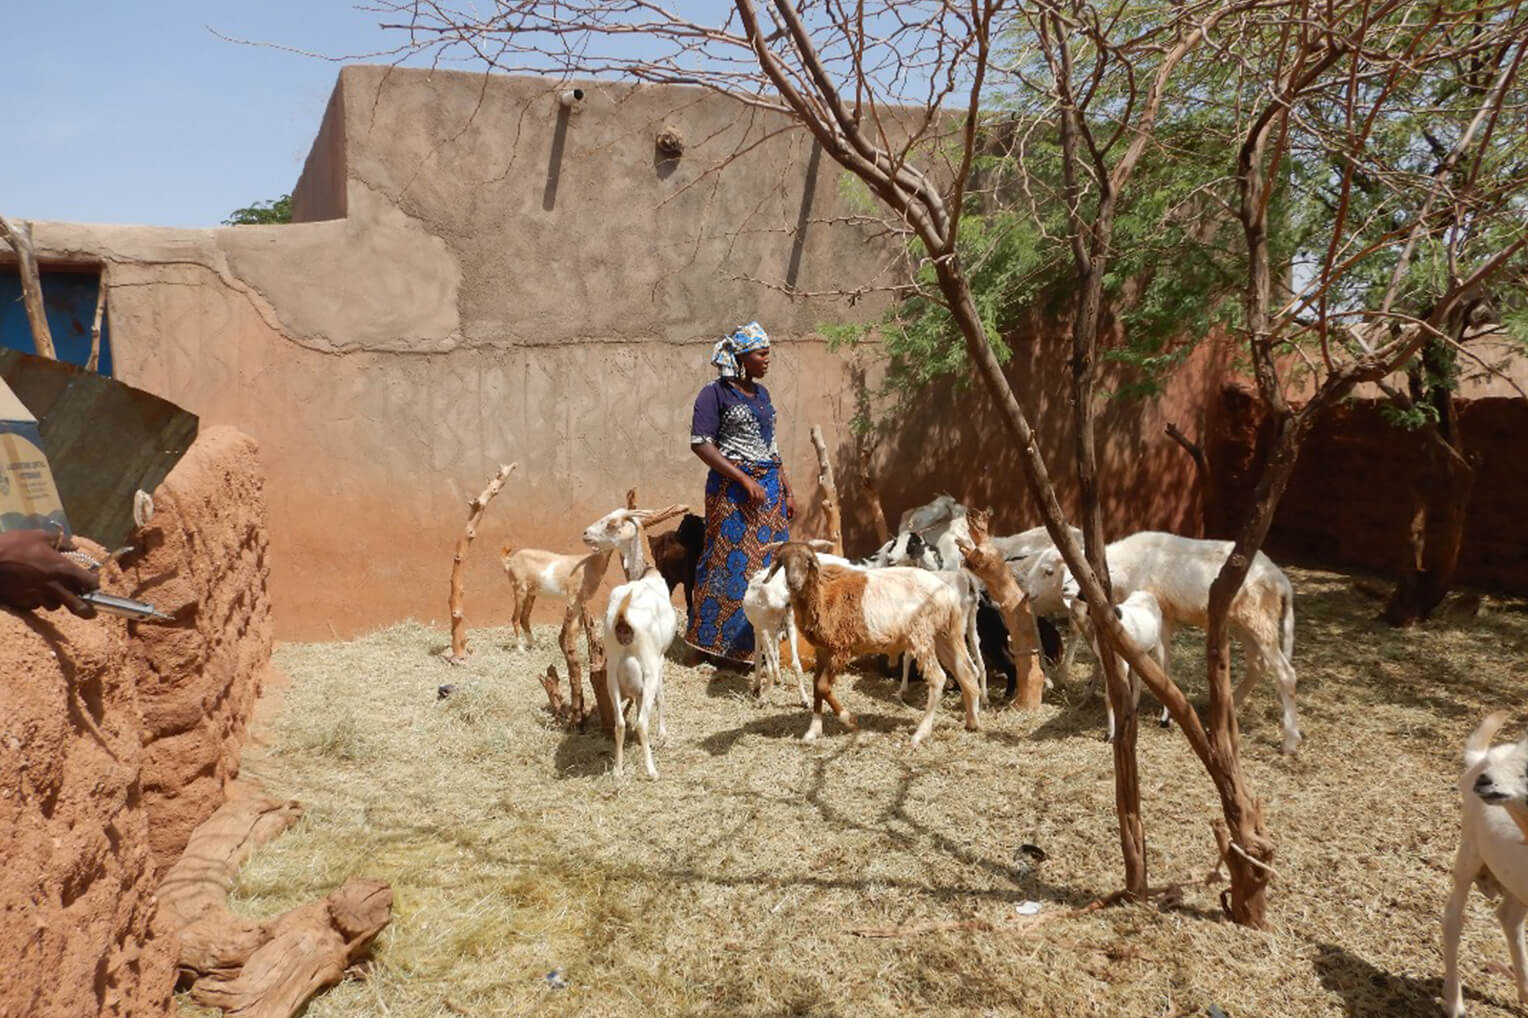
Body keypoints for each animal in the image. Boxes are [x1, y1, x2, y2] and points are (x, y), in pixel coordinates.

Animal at [580, 504, 678, 776]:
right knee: (642, 722)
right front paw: (663, 735)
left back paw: (618, 770)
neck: (648, 574)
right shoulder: (661, 658)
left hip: (612, 674)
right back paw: (652, 771)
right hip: (648, 668)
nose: (586, 534)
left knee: (620, 724)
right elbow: (662, 696)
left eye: (613, 523)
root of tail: (623, 617)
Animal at [760, 534, 977, 742]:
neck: (823, 594)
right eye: (784, 561)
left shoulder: (841, 648)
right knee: (966, 671)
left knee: (939, 677)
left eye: (807, 561)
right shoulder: (822, 649)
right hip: (945, 634)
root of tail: (947, 593)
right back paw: (972, 722)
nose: (793, 582)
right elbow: (816, 686)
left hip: (921, 634)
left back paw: (920, 734)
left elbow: (822, 686)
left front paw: (849, 720)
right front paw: (813, 731)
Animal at [1032, 531, 1295, 752]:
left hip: (1259, 619)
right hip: (1243, 624)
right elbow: (1152, 665)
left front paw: (1164, 714)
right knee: (1257, 664)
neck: (1126, 566)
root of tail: (1281, 580)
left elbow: (1161, 663)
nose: (1031, 594)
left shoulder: (1161, 616)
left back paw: (1289, 741)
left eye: (1048, 571)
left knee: (1285, 673)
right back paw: (1228, 706)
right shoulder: (1161, 619)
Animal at [1442, 709, 1528, 1008]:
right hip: (1469, 849)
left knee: (1509, 918)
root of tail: (1480, 758)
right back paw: (1454, 1004)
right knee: (1453, 917)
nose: (1485, 781)